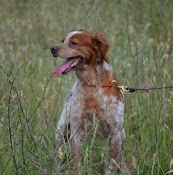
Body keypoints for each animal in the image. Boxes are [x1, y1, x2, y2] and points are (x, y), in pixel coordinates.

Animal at [50, 29, 128, 174]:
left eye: (73, 43)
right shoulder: (76, 132)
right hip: (60, 131)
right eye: (63, 40)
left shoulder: (115, 133)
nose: (52, 48)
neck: (92, 86)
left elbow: (111, 165)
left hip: (122, 134)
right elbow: (77, 163)